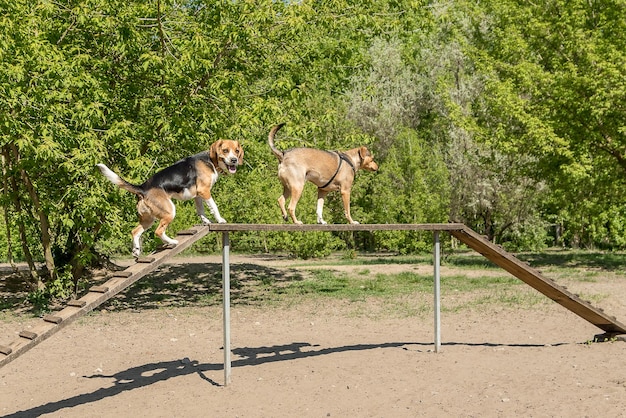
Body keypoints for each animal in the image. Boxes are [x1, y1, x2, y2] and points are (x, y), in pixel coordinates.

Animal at [97, 140, 241, 256]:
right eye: (225, 150)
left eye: (237, 151)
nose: (234, 160)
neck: (210, 160)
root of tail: (142, 188)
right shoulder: (204, 191)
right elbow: (214, 207)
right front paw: (220, 220)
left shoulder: (198, 195)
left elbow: (201, 211)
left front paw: (206, 221)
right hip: (169, 211)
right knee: (158, 231)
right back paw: (173, 241)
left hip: (148, 219)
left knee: (135, 231)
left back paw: (136, 250)